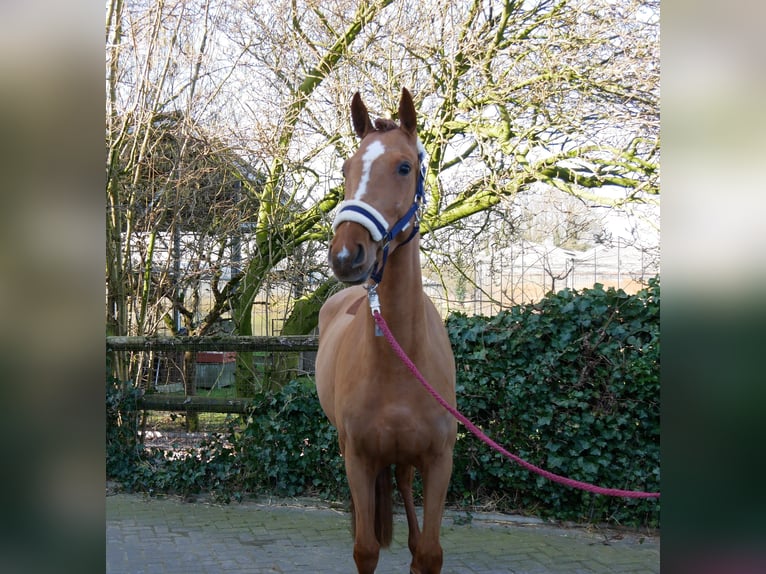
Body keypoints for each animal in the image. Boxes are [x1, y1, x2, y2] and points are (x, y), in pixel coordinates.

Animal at [316, 88, 460, 572]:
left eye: (404, 167)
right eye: (347, 168)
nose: (347, 255)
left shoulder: (439, 462)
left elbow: (429, 552)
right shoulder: (358, 459)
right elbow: (365, 548)